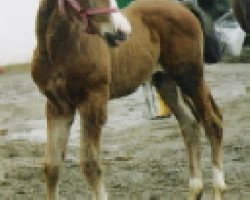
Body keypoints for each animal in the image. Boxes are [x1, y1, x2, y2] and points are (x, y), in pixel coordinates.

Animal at [31, 0, 227, 200]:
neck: (58, 50)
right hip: (165, 81)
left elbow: (90, 164)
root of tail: (182, 6)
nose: (122, 31)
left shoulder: (93, 102)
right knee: (190, 124)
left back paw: (218, 190)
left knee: (212, 122)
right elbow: (52, 165)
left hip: (190, 77)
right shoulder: (57, 106)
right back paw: (194, 191)